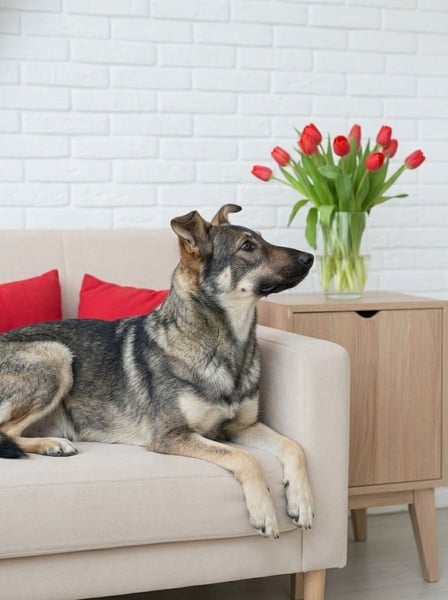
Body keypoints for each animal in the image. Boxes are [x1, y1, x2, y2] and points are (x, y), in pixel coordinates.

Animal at [0, 204, 314, 538]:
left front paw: (302, 502)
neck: (228, 344)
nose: (310, 257)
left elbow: (294, 446)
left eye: (262, 239)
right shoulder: (171, 436)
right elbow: (244, 457)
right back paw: (53, 445)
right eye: (247, 246)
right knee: (6, 432)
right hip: (57, 357)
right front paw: (264, 511)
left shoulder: (242, 427)